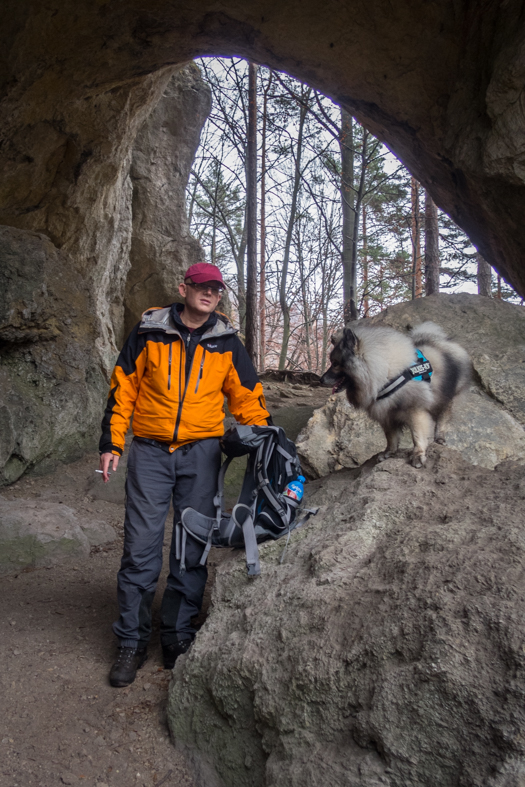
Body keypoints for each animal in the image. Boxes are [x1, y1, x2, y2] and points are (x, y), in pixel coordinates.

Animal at [320, 322, 470, 468]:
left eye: (335, 364)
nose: (321, 379)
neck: (386, 375)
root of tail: (442, 341)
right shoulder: (386, 415)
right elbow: (391, 437)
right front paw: (389, 452)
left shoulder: (415, 411)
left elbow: (417, 436)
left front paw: (418, 455)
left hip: (447, 398)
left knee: (442, 419)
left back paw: (440, 438)